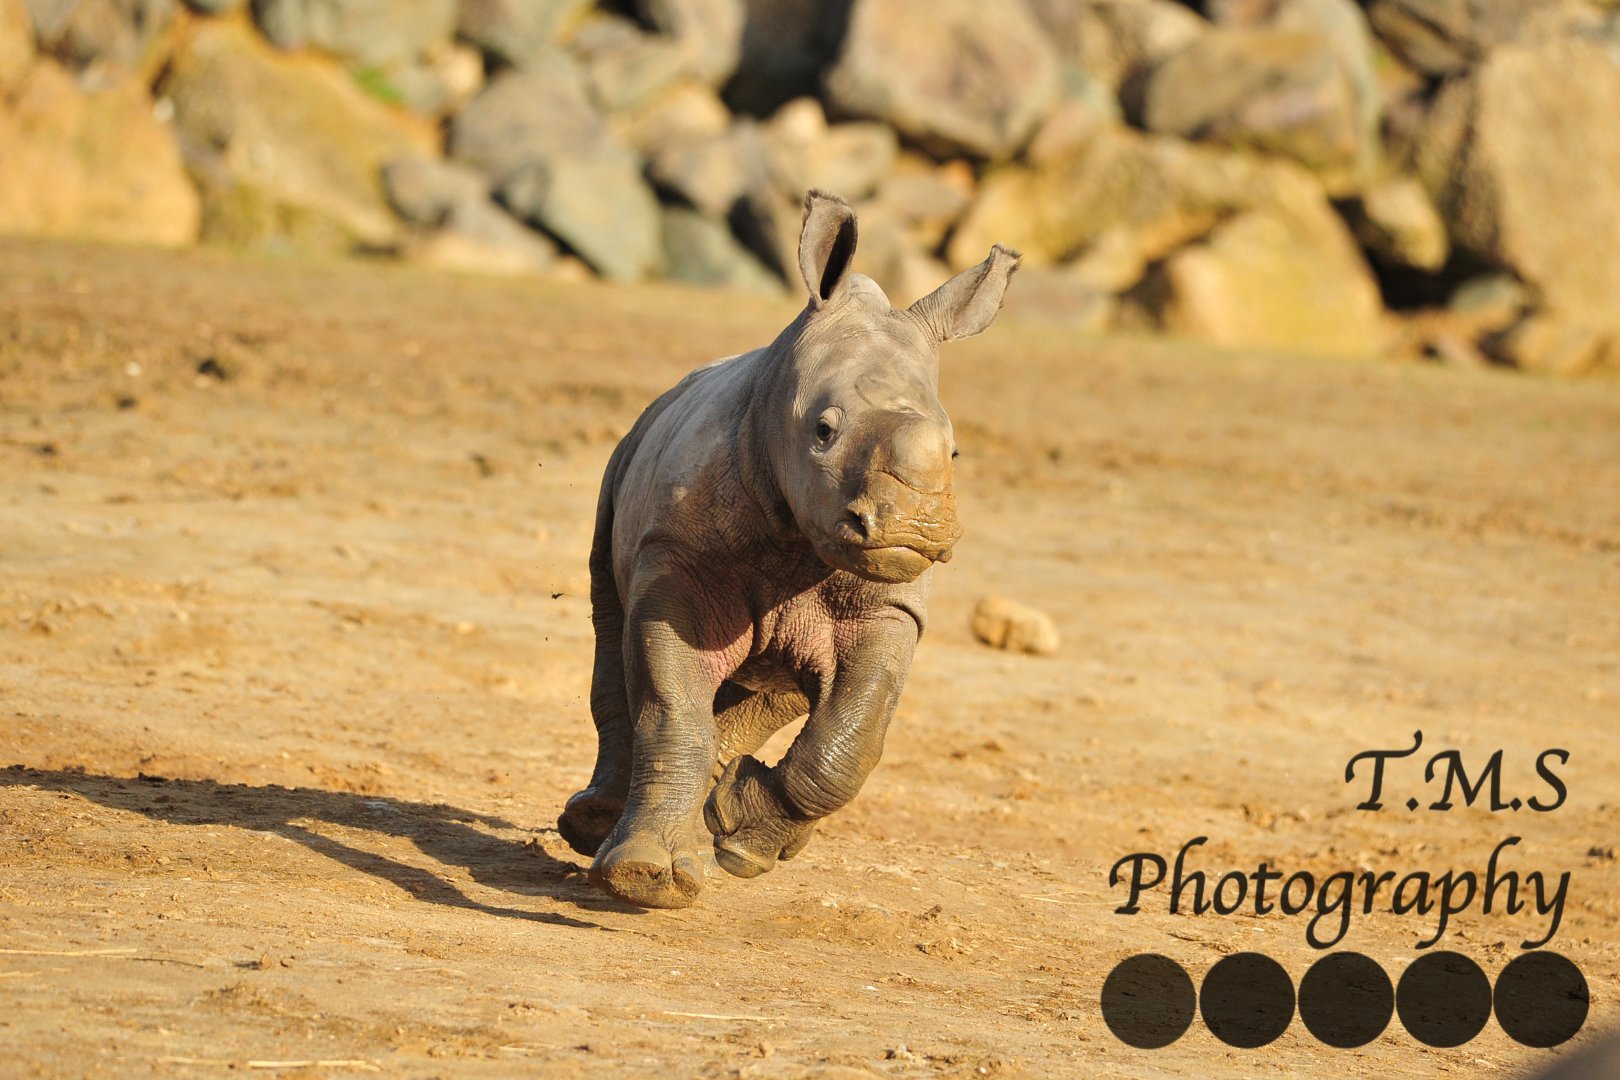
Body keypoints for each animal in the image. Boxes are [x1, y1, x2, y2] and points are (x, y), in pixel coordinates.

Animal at [558, 190, 1021, 908]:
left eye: (954, 453)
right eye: (823, 430)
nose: (912, 529)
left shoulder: (889, 604)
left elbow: (853, 736)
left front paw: (741, 837)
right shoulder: (676, 562)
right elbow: (673, 707)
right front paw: (648, 878)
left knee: (779, 689)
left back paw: (721, 817)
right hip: (625, 458)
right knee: (612, 628)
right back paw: (594, 825)